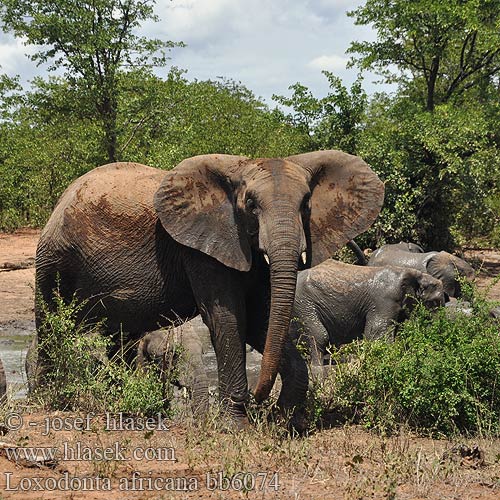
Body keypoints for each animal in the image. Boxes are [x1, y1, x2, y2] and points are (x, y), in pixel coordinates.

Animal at [34, 150, 382, 428]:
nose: (260, 399)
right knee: (49, 325)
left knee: (119, 337)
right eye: (251, 204)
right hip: (54, 258)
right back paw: (50, 403)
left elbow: (261, 319)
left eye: (307, 203)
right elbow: (228, 317)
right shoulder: (203, 247)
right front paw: (236, 427)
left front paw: (287, 421)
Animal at [292, 262, 444, 364]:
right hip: (303, 303)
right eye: (434, 303)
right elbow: (377, 335)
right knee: (319, 336)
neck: (417, 274)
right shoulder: (385, 301)